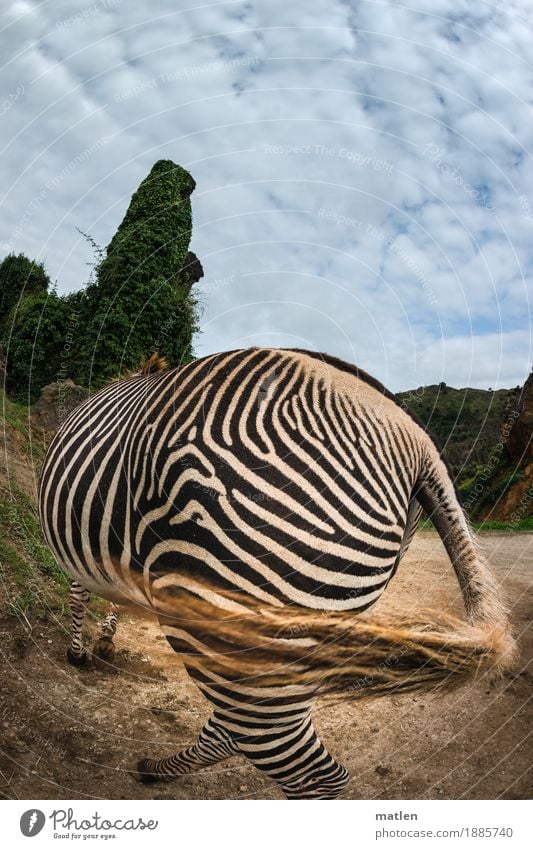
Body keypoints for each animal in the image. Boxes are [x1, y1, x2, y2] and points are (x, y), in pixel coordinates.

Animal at [38, 348, 516, 800]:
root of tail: (420, 448)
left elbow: (79, 594)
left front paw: (80, 650)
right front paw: (106, 636)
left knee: (311, 774)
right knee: (232, 731)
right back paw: (156, 770)